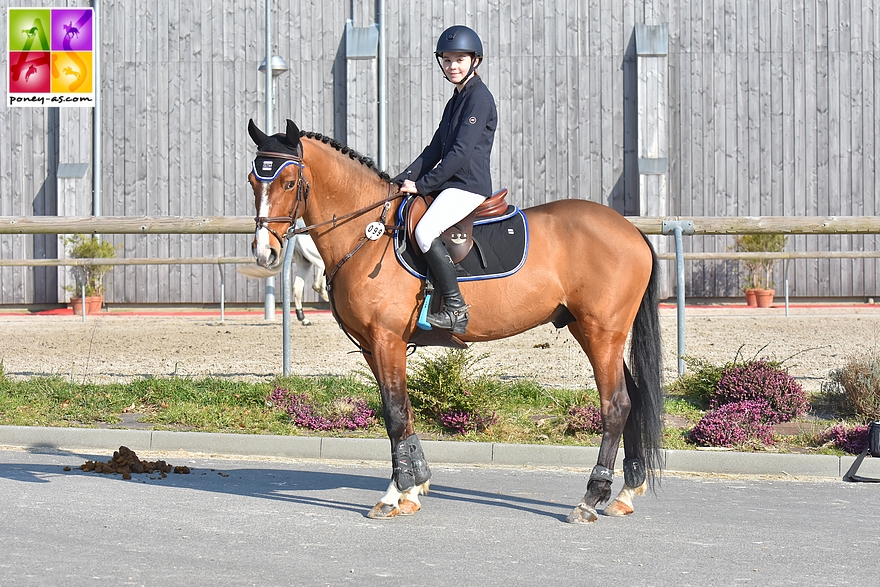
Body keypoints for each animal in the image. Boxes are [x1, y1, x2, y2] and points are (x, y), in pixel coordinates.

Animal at [246, 120, 660, 524]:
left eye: (288, 182)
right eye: (253, 180)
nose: (265, 252)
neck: (368, 232)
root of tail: (631, 230)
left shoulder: (386, 340)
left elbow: (395, 414)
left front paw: (393, 495)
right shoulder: (372, 346)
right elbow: (403, 410)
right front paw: (413, 489)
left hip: (600, 333)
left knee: (616, 405)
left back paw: (590, 499)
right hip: (593, 332)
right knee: (633, 398)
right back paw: (624, 493)